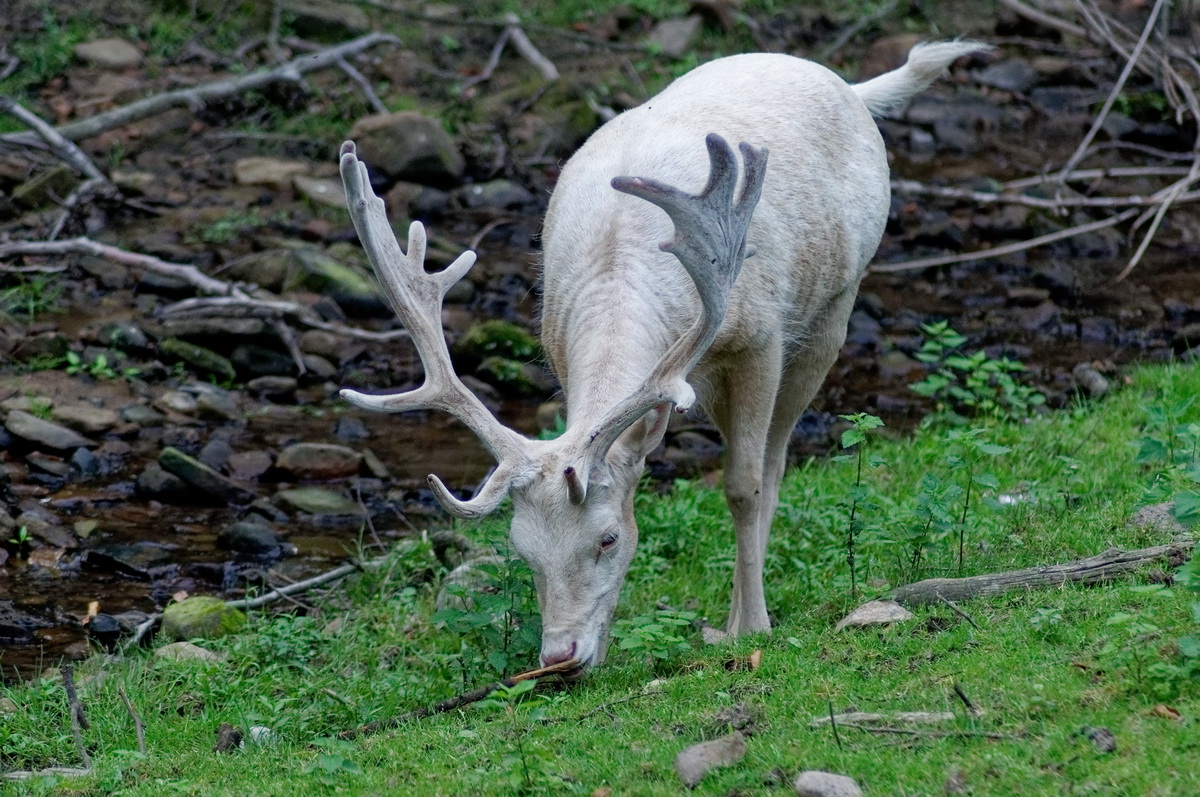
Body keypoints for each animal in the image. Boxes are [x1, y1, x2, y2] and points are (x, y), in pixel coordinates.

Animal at [338, 40, 984, 676]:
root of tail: (847, 85)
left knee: (777, 461)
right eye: (523, 549)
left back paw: (740, 615)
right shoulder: (560, 353)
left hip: (831, 310)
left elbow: (744, 485)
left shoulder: (761, 339)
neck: (620, 259)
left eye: (607, 538)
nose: (559, 658)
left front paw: (752, 628)